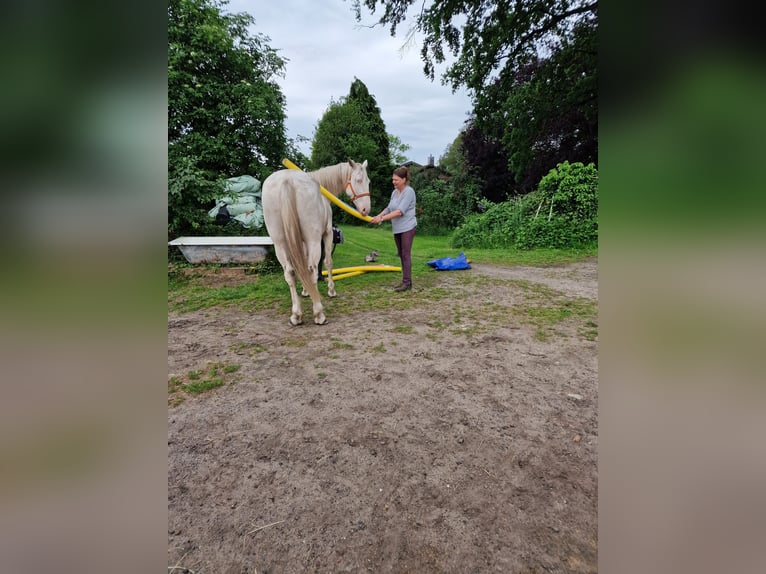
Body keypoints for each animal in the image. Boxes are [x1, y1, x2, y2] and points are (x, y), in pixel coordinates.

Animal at [262, 160, 374, 326]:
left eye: (368, 182)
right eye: (359, 180)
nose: (366, 209)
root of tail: (287, 180)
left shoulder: (301, 242)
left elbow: (302, 265)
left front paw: (305, 291)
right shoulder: (327, 234)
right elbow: (328, 262)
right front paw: (331, 290)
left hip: (280, 243)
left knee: (290, 273)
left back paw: (296, 314)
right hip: (313, 240)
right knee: (312, 270)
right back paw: (319, 313)